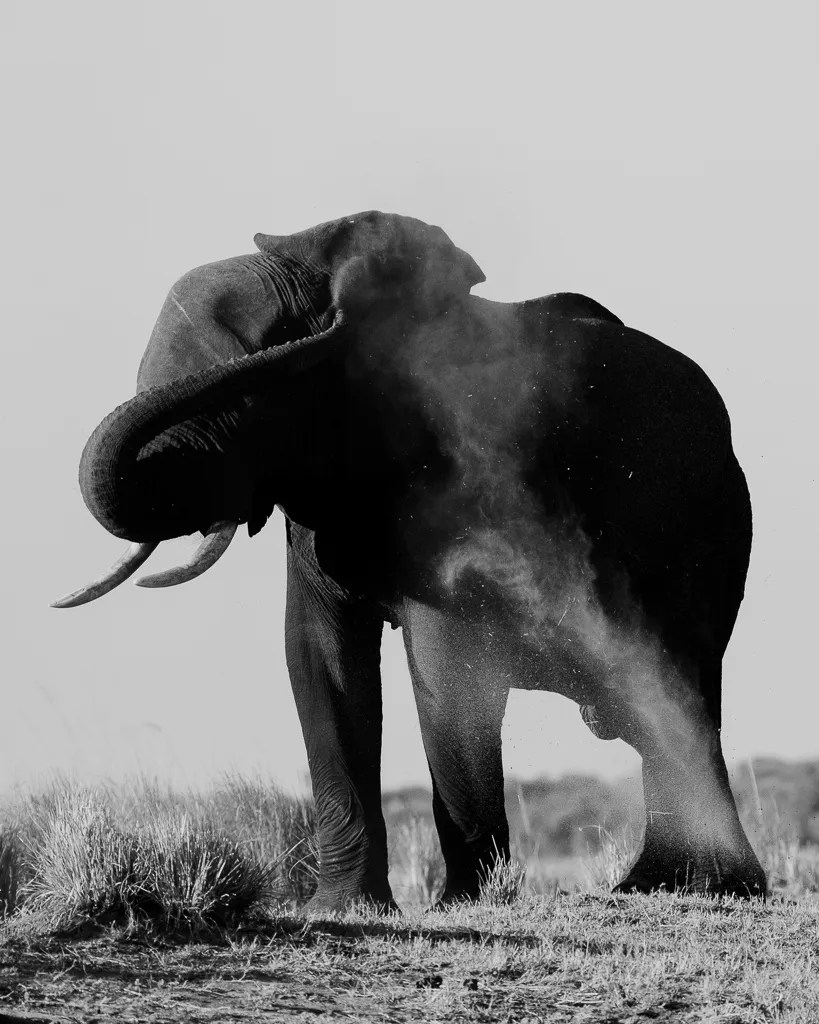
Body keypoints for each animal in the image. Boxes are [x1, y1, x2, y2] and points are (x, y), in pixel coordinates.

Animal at [54, 211, 766, 910]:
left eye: (251, 401)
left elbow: (446, 662)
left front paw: (464, 905)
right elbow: (318, 658)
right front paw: (342, 910)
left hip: (709, 530)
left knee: (681, 690)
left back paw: (691, 886)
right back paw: (661, 884)